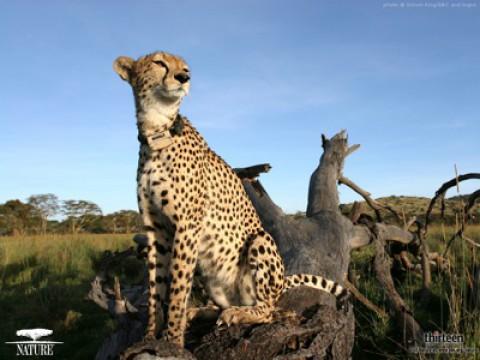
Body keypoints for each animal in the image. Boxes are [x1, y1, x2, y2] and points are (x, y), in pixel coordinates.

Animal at [115, 50, 350, 346]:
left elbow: (177, 289)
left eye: (185, 67)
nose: (184, 77)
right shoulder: (155, 229)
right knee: (224, 305)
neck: (157, 133)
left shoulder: (187, 226)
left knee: (270, 310)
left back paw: (239, 313)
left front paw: (172, 341)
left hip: (259, 241)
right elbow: (156, 287)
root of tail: (281, 282)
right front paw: (149, 337)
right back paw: (203, 311)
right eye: (159, 63)